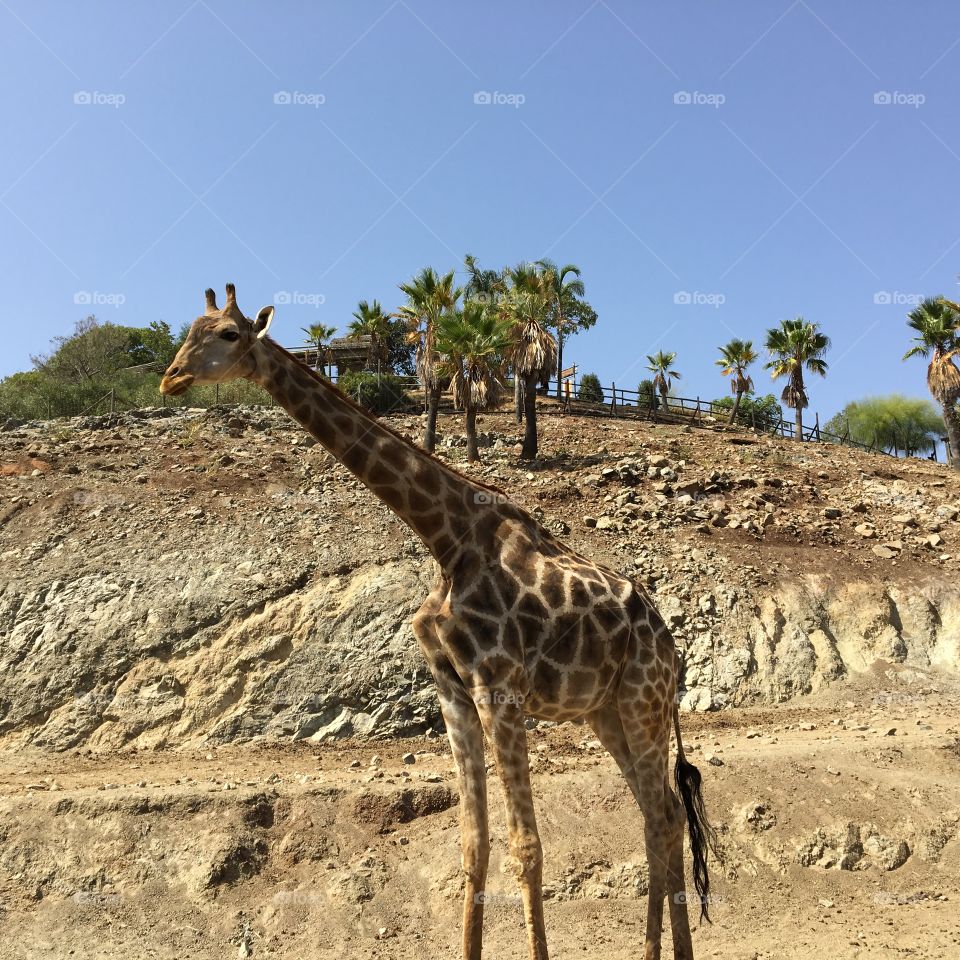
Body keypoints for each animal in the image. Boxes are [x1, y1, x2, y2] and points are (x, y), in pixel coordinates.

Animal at [160, 285, 716, 960]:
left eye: (229, 335)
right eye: (189, 330)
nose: (170, 377)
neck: (445, 538)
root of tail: (669, 644)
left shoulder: (499, 689)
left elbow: (526, 847)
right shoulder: (453, 689)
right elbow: (473, 845)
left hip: (642, 702)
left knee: (662, 816)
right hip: (606, 713)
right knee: (660, 814)